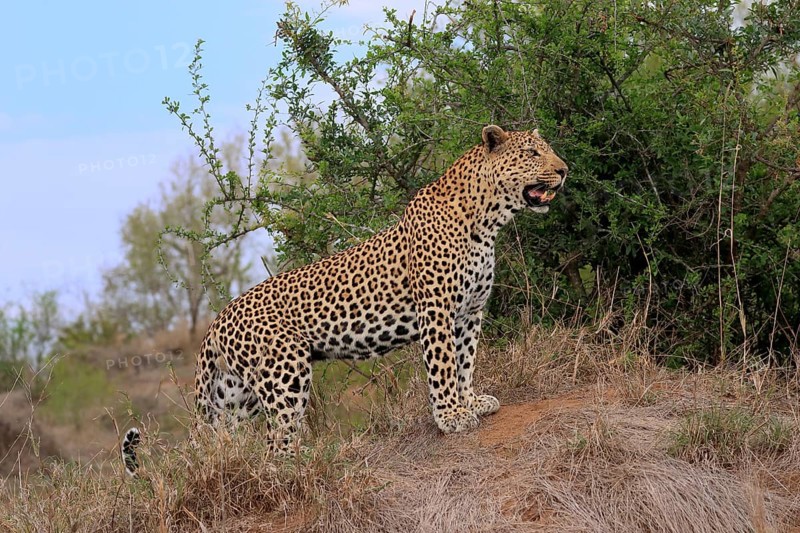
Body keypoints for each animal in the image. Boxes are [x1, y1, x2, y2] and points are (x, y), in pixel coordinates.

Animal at [122, 125, 567, 474]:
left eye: (546, 149)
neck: (488, 221)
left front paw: (471, 401)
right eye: (532, 153)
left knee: (225, 441)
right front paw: (450, 417)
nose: (564, 170)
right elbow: (443, 367)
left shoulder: (470, 312)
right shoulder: (437, 310)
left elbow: (465, 362)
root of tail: (217, 320)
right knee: (276, 444)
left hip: (236, 395)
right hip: (285, 374)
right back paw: (302, 467)